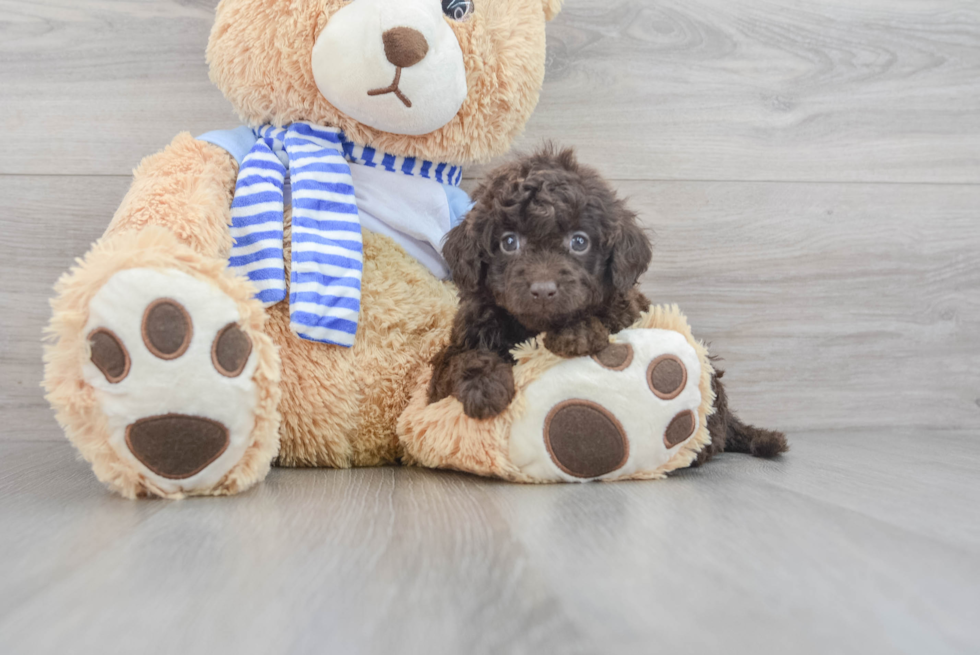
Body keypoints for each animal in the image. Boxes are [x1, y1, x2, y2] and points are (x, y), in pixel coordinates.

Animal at [428, 148, 788, 464]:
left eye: (579, 241)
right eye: (508, 242)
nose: (543, 290)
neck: (532, 327)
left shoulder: (624, 312)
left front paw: (576, 332)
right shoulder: (448, 363)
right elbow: (462, 360)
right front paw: (484, 387)